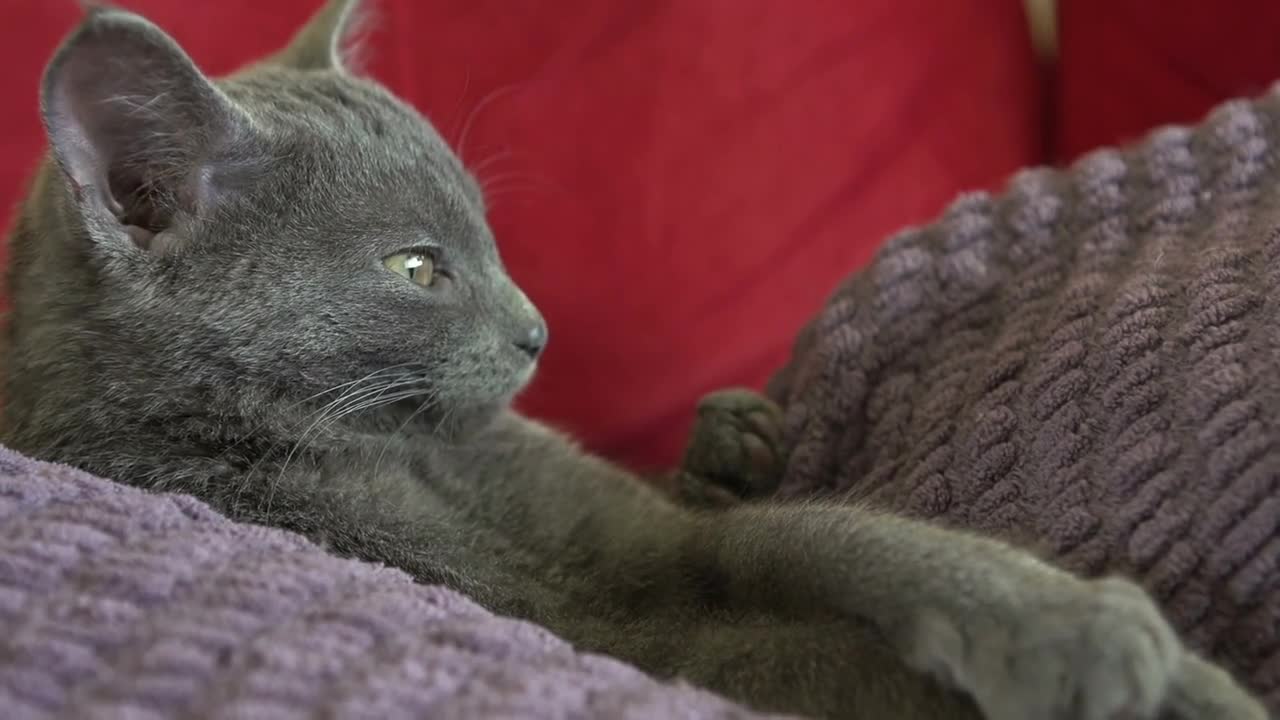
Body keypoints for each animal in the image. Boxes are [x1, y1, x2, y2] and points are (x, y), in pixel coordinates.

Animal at [0, 2, 1259, 712]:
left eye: (487, 236)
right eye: (417, 268)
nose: (536, 330)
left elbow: (793, 540)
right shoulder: (606, 611)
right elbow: (831, 560)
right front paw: (1101, 644)